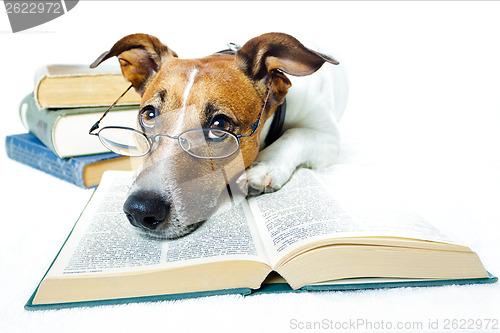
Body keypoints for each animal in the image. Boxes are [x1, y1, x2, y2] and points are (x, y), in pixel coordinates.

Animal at [91, 31, 348, 239]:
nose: (140, 209)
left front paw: (265, 168)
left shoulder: (329, 138)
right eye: (149, 114)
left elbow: (295, 135)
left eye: (219, 125)